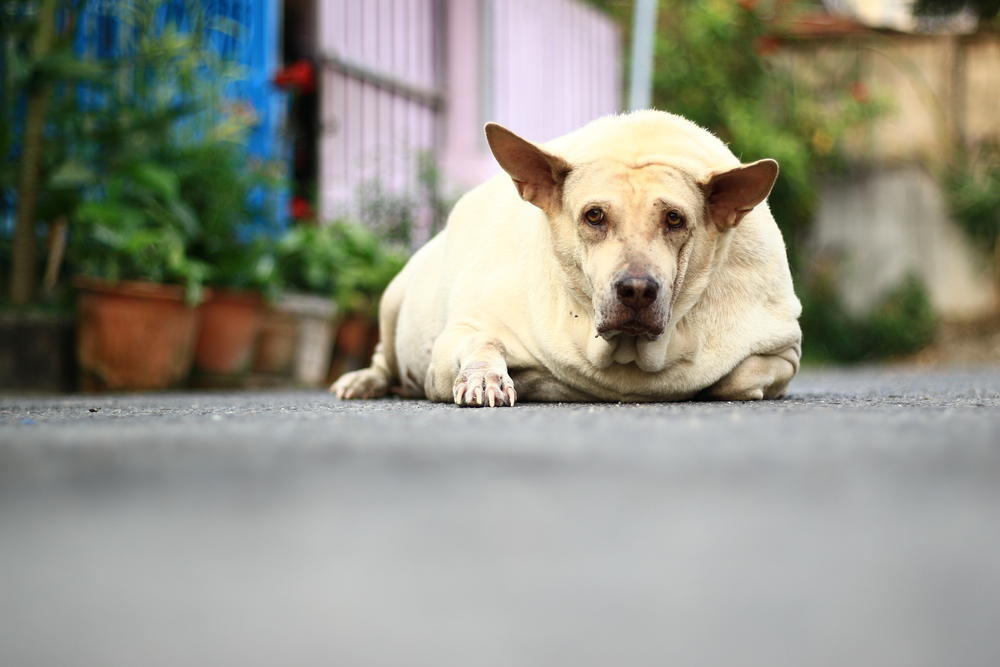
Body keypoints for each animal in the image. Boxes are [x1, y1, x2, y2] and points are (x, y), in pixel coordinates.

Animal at [332, 109, 800, 408]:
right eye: (594, 216)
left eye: (674, 219)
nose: (636, 289)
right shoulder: (464, 331)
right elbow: (481, 342)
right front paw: (486, 376)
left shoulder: (783, 350)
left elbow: (737, 379)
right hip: (393, 301)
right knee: (386, 356)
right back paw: (365, 381)